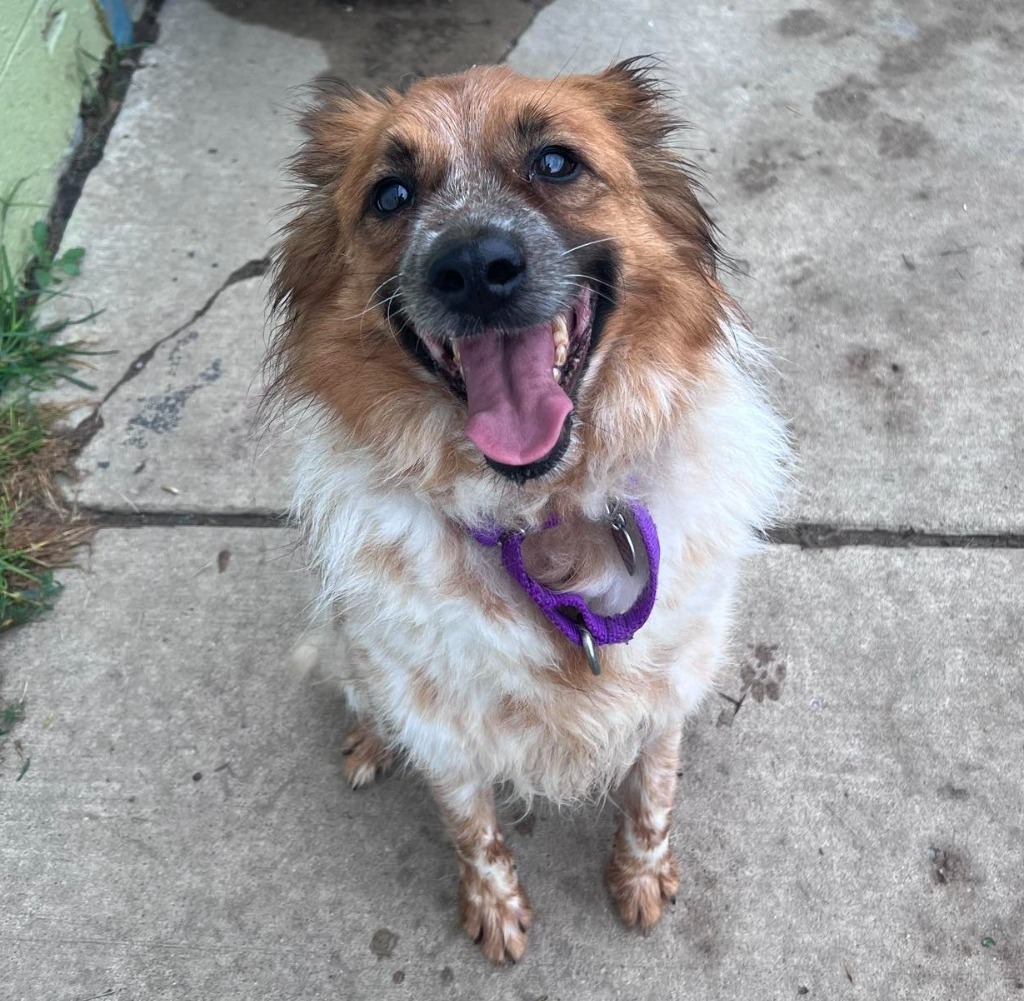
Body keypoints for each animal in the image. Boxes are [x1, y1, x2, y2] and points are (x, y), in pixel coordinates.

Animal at [266, 56, 790, 958]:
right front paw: (496, 906)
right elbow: (471, 825)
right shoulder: (438, 719)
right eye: (390, 195)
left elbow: (652, 792)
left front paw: (639, 878)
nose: (474, 266)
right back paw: (371, 739)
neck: (545, 513)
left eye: (555, 162)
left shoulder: (671, 681)